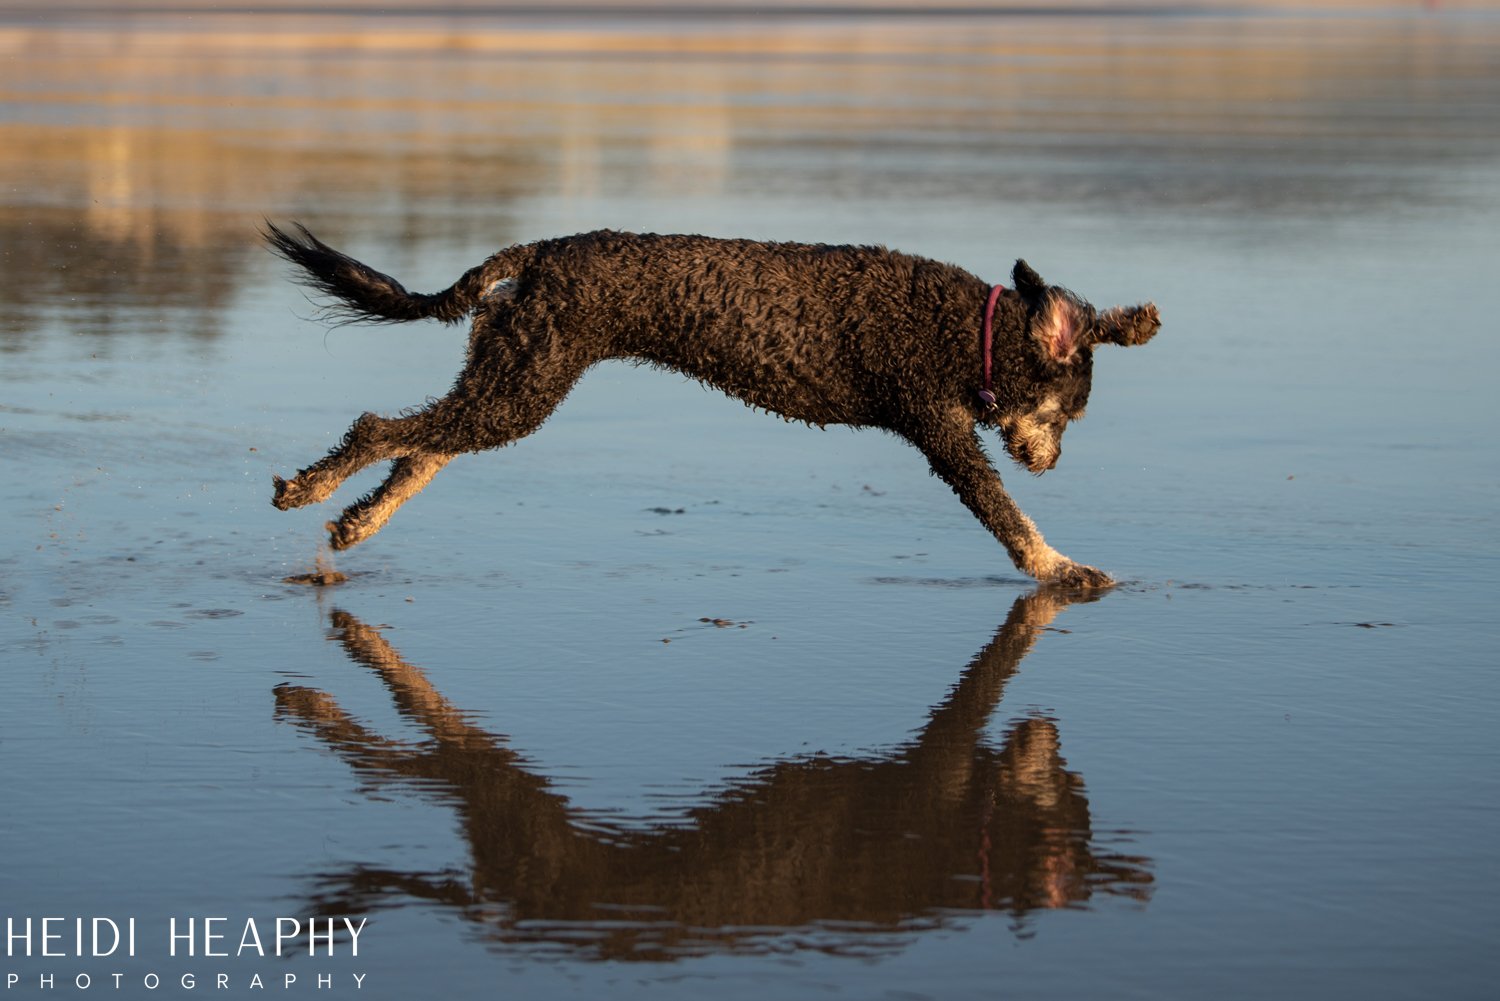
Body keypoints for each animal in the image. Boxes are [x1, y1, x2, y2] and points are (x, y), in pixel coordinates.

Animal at [267, 225, 1158, 588]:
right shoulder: (942, 433)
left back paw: (355, 522)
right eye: (1066, 417)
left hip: (509, 377)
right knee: (384, 429)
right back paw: (311, 489)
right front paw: (1063, 568)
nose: (1049, 461)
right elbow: (1010, 521)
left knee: (423, 447)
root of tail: (541, 254)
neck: (968, 328)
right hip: (522, 385)